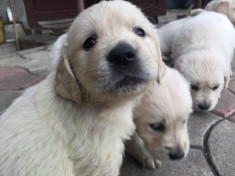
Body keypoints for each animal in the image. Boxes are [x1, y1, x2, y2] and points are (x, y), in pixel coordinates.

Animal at [0, 0, 165, 175]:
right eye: (89, 42)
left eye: (140, 32)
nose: (122, 54)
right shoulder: (100, 159)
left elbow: (133, 136)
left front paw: (146, 154)